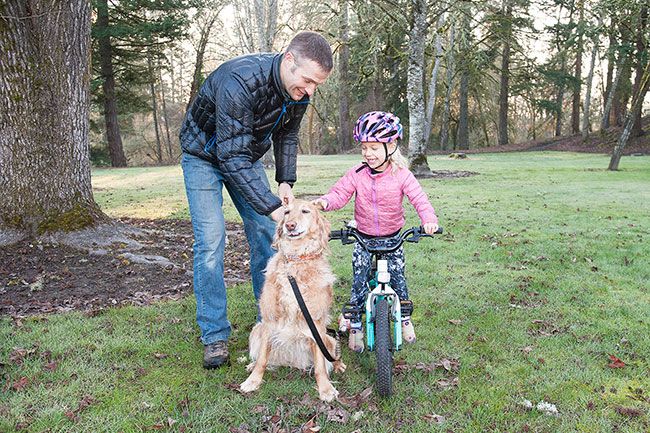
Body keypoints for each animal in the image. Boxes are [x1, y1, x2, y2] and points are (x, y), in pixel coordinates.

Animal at [239, 199, 344, 402]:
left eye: (305, 211)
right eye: (286, 212)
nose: (290, 225)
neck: (296, 260)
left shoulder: (316, 324)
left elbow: (320, 365)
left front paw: (325, 389)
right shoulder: (269, 321)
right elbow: (262, 358)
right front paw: (253, 380)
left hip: (328, 338)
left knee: (331, 355)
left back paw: (337, 365)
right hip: (257, 330)